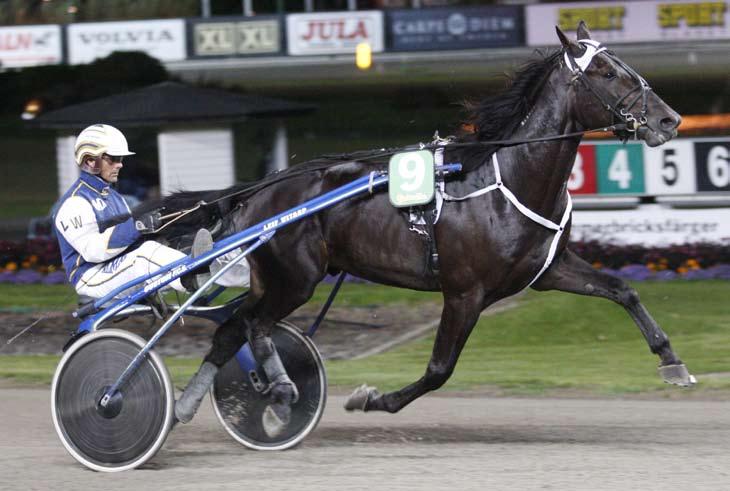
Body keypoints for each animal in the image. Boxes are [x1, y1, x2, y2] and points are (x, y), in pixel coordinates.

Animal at [136, 22, 688, 430]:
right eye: (607, 71)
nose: (669, 121)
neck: (508, 179)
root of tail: (258, 191)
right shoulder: (465, 293)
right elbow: (440, 370)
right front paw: (369, 398)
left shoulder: (547, 270)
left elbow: (622, 290)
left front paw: (671, 360)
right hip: (294, 279)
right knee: (254, 326)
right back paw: (279, 389)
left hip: (273, 280)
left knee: (232, 329)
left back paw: (190, 406)